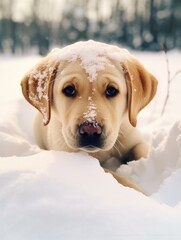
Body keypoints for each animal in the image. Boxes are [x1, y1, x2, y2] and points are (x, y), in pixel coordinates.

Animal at [20, 40, 157, 192]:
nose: (90, 130)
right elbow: (114, 176)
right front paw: (138, 191)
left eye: (111, 90)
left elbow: (143, 152)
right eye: (69, 90)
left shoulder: (135, 141)